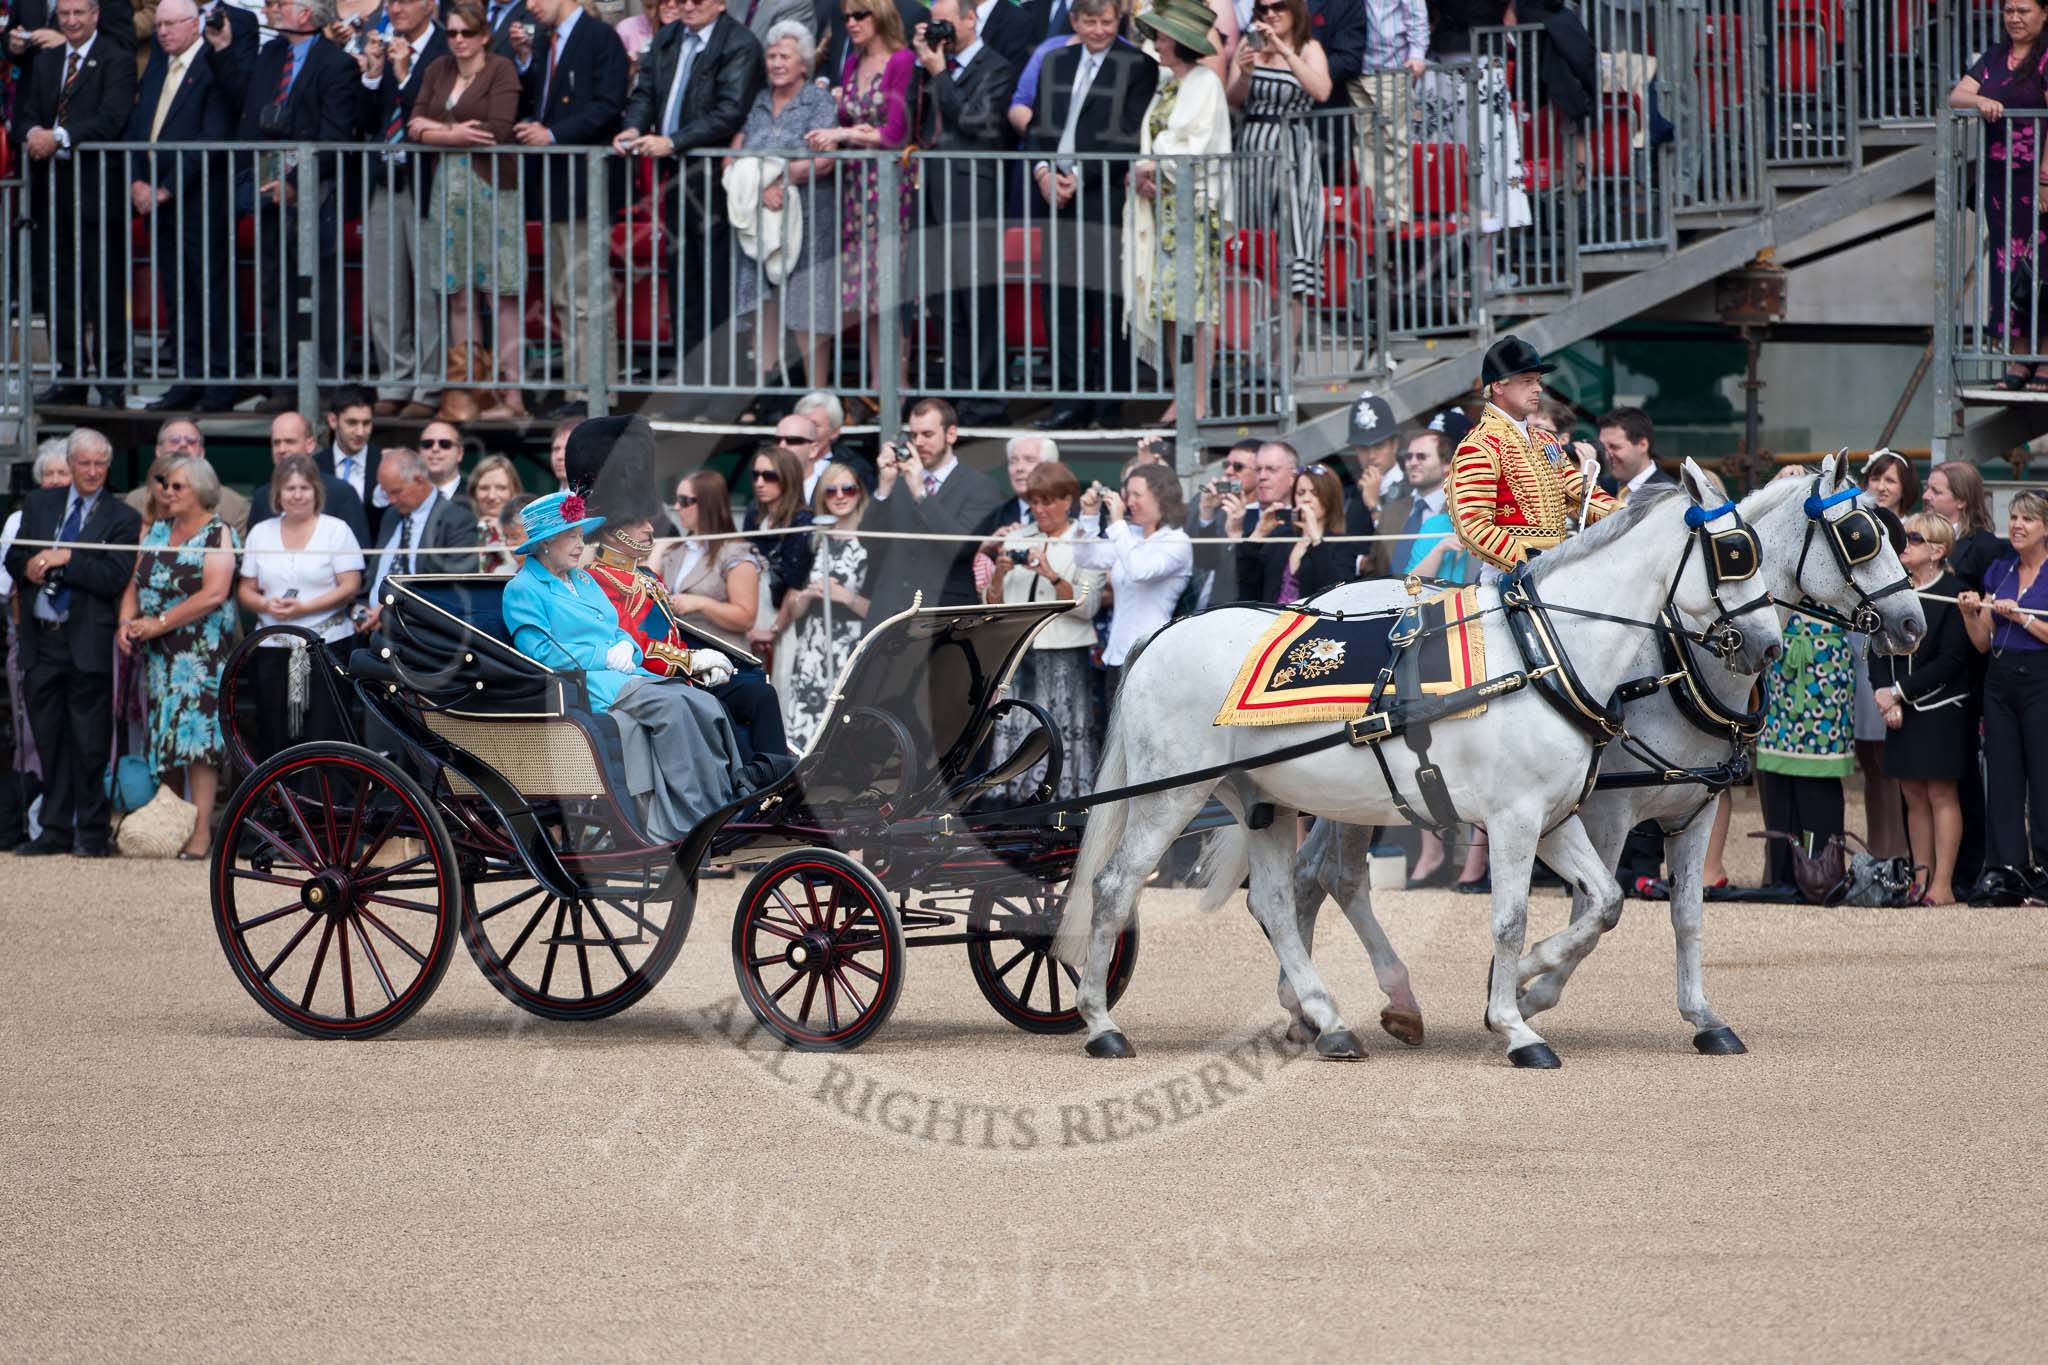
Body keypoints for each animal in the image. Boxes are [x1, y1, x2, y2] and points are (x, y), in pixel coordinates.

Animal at [1253, 454, 1925, 1055]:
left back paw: (1316, 1010)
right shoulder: (1604, 812)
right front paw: (1524, 990)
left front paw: (1702, 1017)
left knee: (1314, 876)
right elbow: (1595, 909)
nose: (1913, 624)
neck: (1673, 664)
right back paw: (1352, 1007)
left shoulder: (1694, 811)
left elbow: (1685, 915)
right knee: (1333, 877)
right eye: (1860, 536)